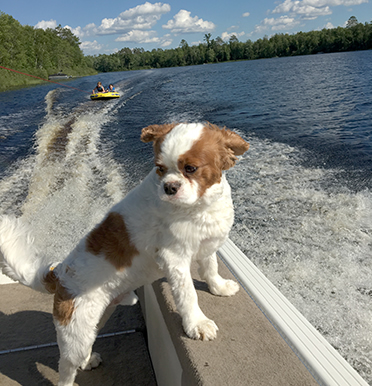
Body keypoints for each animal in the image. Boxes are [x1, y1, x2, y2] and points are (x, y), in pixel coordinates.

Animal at [0, 122, 250, 384]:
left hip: (96, 318)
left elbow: (210, 268)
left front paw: (219, 288)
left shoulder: (206, 241)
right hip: (75, 330)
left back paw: (88, 361)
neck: (198, 207)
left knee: (86, 347)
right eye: (160, 169)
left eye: (190, 169)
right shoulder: (174, 258)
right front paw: (197, 324)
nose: (169, 187)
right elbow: (188, 294)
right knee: (66, 368)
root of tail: (58, 274)